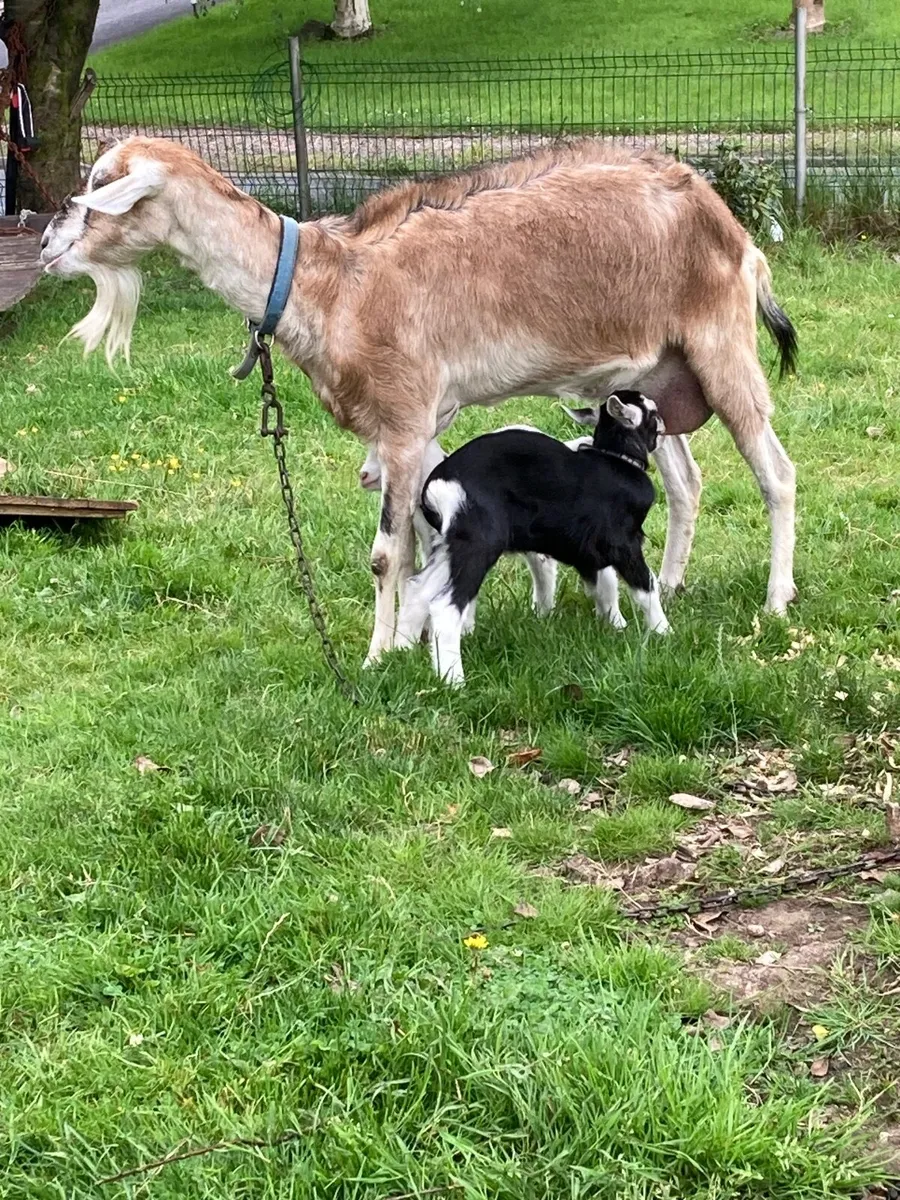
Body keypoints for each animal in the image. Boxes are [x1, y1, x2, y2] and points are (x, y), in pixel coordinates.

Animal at [396, 392, 668, 684]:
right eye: (652, 412)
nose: (665, 423)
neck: (618, 459)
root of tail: (438, 485)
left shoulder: (588, 552)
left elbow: (604, 586)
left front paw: (615, 626)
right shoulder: (624, 544)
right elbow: (645, 586)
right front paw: (663, 631)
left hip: (448, 546)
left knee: (417, 588)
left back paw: (400, 653)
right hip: (477, 543)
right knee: (445, 606)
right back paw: (453, 680)